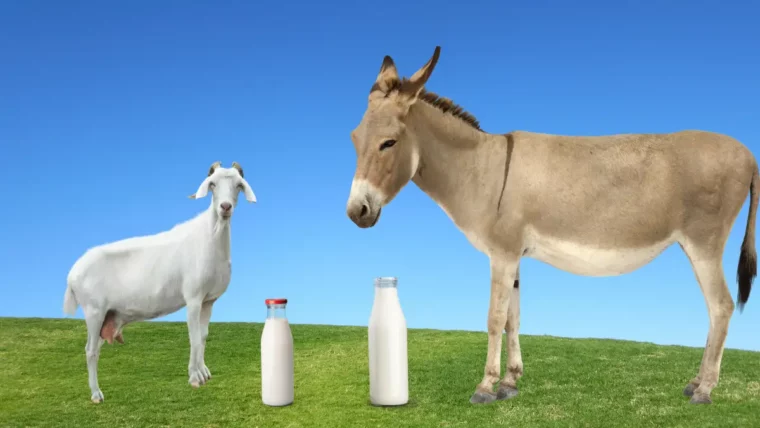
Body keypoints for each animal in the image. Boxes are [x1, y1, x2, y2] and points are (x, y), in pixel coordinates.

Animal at [63, 161, 257, 403]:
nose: (225, 207)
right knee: (90, 350)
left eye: (239, 185)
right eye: (212, 184)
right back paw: (96, 394)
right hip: (93, 311)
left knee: (96, 347)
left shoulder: (208, 301)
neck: (209, 237)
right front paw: (194, 378)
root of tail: (72, 273)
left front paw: (204, 372)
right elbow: (193, 337)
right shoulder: (193, 298)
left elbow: (203, 336)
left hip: (106, 316)